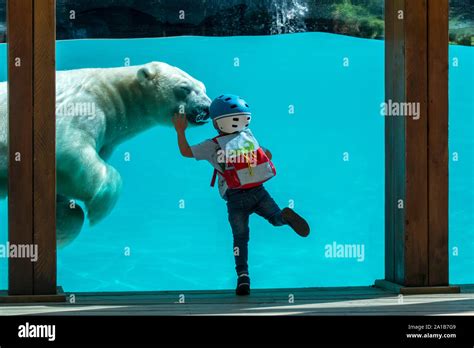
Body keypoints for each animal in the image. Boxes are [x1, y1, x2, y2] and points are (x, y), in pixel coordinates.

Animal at [0, 62, 211, 246]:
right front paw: (98, 210)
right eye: (185, 87)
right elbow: (67, 149)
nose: (207, 108)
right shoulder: (82, 104)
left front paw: (59, 228)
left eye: (204, 87)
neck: (112, 93)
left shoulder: (108, 140)